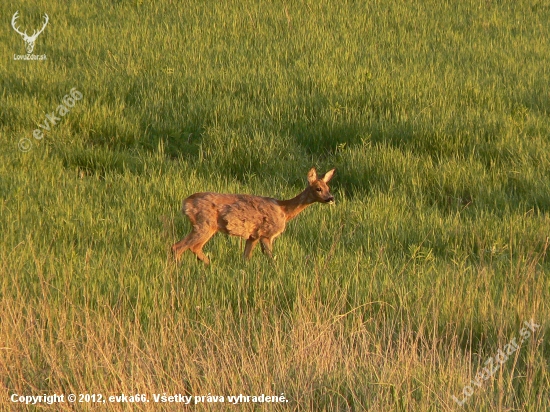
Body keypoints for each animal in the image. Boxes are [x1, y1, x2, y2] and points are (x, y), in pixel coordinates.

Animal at [172, 167, 336, 264]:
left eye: (328, 187)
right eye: (318, 188)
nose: (331, 198)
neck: (284, 210)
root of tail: (186, 203)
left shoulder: (253, 236)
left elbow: (246, 257)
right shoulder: (267, 233)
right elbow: (270, 256)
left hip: (203, 226)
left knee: (188, 247)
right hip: (205, 224)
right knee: (181, 247)